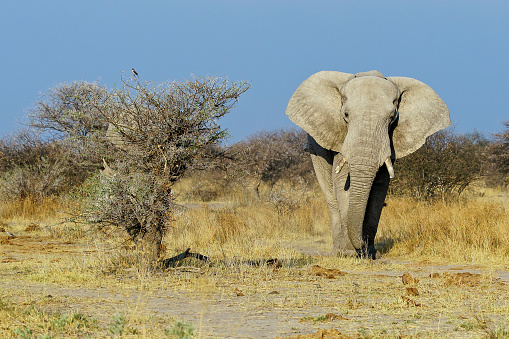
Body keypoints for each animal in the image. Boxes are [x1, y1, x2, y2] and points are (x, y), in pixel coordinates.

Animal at [286, 70, 448, 258]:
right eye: (345, 115)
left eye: (392, 117)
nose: (361, 246)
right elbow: (344, 184)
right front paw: (350, 254)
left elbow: (379, 187)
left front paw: (370, 254)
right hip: (314, 146)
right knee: (331, 195)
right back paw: (337, 251)